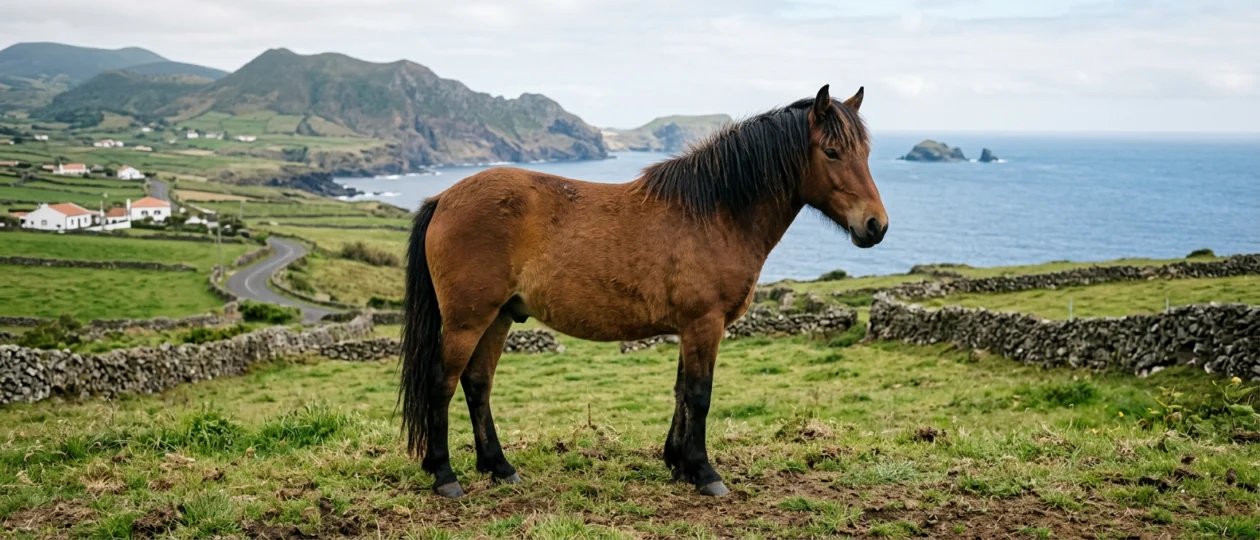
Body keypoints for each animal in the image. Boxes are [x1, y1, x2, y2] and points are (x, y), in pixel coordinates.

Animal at [400, 84, 887, 498]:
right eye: (831, 152)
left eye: (866, 152)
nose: (875, 226)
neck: (715, 214)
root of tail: (443, 199)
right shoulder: (705, 324)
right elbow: (699, 395)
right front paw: (705, 473)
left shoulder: (691, 327)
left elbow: (681, 392)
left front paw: (678, 463)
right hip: (467, 319)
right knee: (442, 384)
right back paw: (445, 476)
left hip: (499, 316)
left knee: (477, 384)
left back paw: (499, 468)